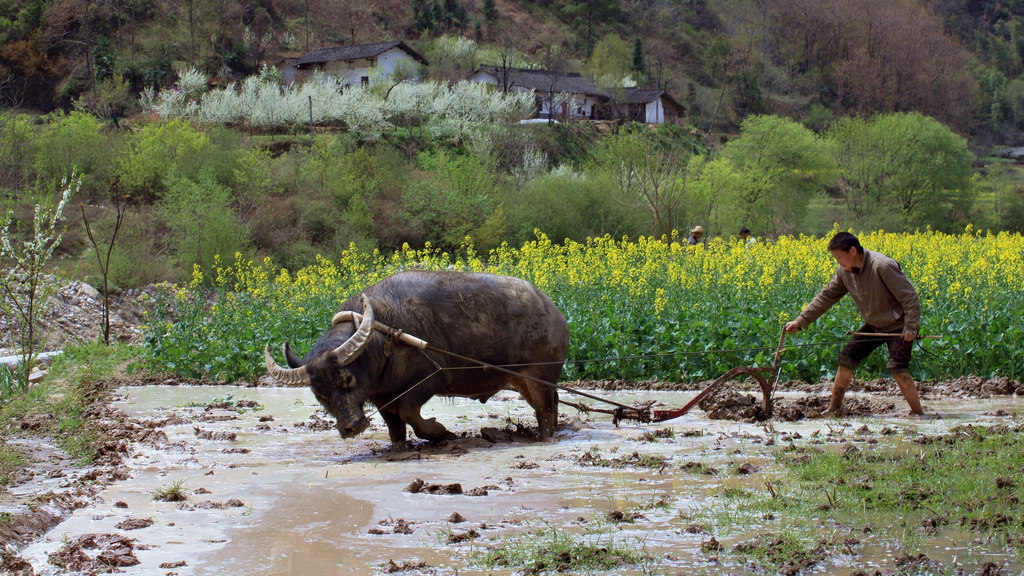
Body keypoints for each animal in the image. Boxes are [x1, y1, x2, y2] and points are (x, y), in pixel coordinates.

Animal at [262, 268, 569, 438]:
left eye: (347, 380)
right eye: (319, 394)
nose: (352, 427)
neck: (383, 338)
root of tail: (556, 314)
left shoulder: (429, 380)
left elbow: (409, 411)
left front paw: (439, 433)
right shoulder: (382, 397)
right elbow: (395, 426)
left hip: (539, 376)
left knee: (544, 409)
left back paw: (544, 436)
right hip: (524, 381)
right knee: (552, 404)